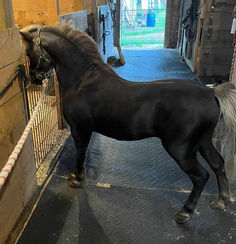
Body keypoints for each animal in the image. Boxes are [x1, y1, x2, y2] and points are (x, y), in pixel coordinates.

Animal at [20, 23, 236, 224]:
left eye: (29, 52)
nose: (34, 78)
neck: (82, 81)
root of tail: (211, 92)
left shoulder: (79, 129)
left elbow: (81, 154)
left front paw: (76, 179)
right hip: (203, 142)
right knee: (218, 164)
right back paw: (221, 200)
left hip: (181, 149)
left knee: (201, 176)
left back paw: (185, 212)